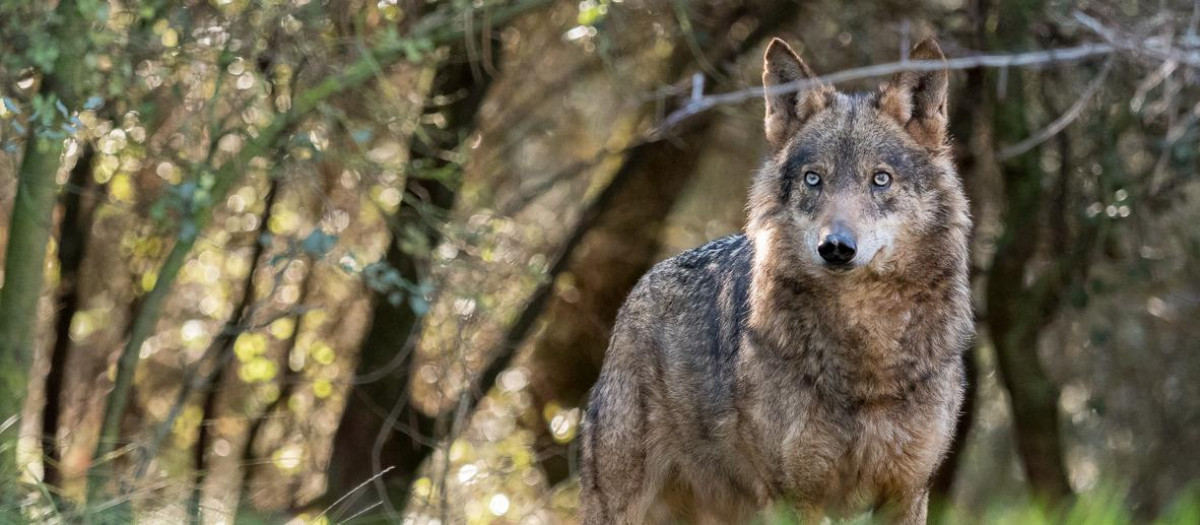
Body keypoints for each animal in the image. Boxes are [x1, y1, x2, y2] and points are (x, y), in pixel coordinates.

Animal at [579, 37, 973, 524]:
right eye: (813, 179)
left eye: (880, 179)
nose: (836, 247)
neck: (867, 361)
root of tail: (641, 285)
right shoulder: (797, 497)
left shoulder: (908, 494)